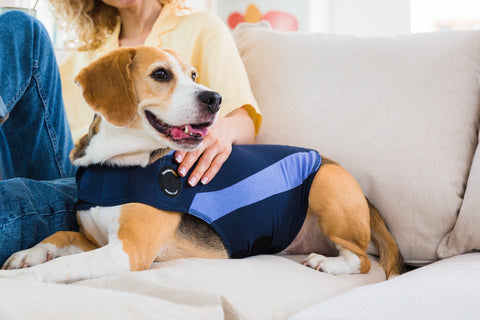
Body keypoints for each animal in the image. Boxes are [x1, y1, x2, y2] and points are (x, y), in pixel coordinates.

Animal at [0, 46, 404, 282]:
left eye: (193, 75)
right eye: (161, 74)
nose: (215, 98)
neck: (116, 164)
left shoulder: (129, 252)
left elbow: (61, 266)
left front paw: (26, 280)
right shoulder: (92, 240)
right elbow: (58, 238)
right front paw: (26, 255)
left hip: (325, 183)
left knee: (361, 259)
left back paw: (330, 263)